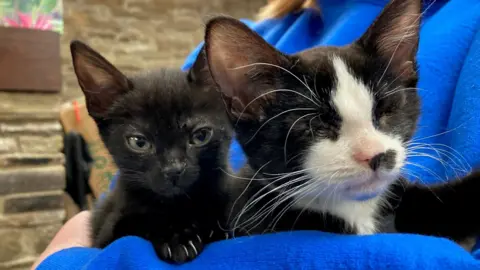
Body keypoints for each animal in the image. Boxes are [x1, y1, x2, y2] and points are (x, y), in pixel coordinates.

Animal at [71, 42, 232, 264]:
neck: (179, 205)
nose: (173, 169)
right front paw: (176, 237)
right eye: (139, 142)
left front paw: (211, 225)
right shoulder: (105, 234)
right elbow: (135, 223)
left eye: (201, 136)